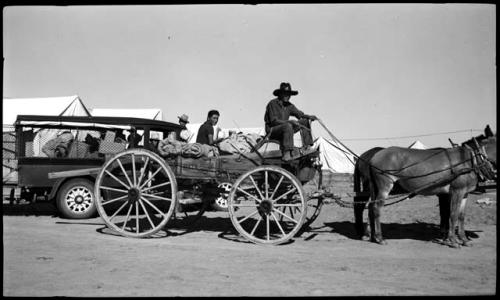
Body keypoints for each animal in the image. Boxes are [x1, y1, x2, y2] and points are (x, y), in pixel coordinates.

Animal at [354, 127, 494, 247]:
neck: (470, 160)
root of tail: (374, 156)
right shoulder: (456, 191)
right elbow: (452, 215)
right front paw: (452, 241)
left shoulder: (464, 193)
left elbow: (461, 216)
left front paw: (464, 239)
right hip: (384, 186)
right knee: (376, 208)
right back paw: (379, 238)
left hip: (375, 187)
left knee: (371, 207)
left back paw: (372, 236)